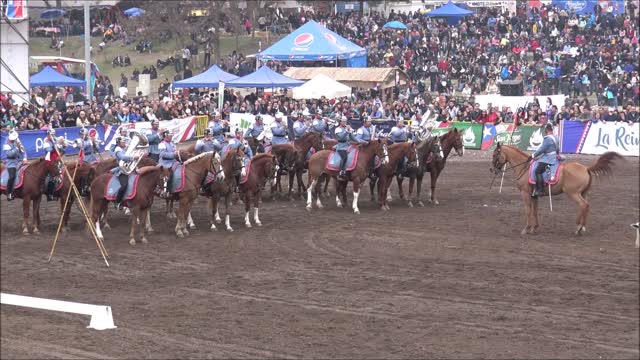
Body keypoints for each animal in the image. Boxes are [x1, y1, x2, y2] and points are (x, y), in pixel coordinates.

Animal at [490, 143, 624, 236]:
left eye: (495, 155)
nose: (492, 169)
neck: (525, 167)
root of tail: (586, 168)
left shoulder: (525, 194)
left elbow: (528, 211)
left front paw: (526, 229)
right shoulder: (534, 195)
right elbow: (535, 211)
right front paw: (534, 228)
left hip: (573, 193)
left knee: (583, 205)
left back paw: (578, 227)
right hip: (583, 193)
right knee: (586, 206)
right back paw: (582, 227)